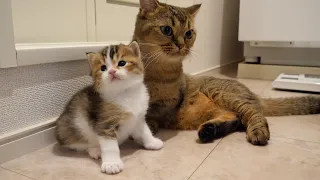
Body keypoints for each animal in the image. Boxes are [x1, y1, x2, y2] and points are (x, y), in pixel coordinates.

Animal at [54, 41, 162, 174]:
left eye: (122, 63)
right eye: (103, 68)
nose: (111, 72)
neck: (124, 93)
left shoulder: (139, 118)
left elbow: (145, 131)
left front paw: (152, 142)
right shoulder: (105, 123)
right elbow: (110, 146)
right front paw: (111, 164)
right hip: (68, 128)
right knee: (80, 144)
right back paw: (95, 150)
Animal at [131, 0, 318, 145]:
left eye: (189, 33)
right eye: (167, 30)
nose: (182, 45)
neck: (158, 71)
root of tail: (253, 94)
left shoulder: (170, 101)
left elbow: (151, 111)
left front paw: (147, 125)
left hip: (225, 94)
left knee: (254, 113)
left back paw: (257, 132)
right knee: (236, 119)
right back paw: (210, 130)